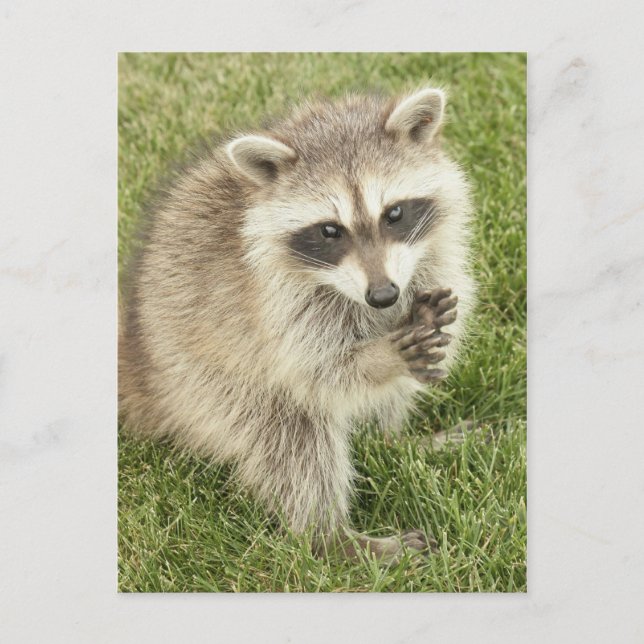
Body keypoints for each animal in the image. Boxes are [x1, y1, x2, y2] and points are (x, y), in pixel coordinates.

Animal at [119, 87, 475, 561]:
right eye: (330, 230)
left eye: (395, 213)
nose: (383, 296)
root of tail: (144, 364)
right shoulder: (277, 303)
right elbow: (319, 371)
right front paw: (380, 357)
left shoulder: (432, 256)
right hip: (208, 383)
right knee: (293, 437)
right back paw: (334, 539)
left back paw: (393, 439)